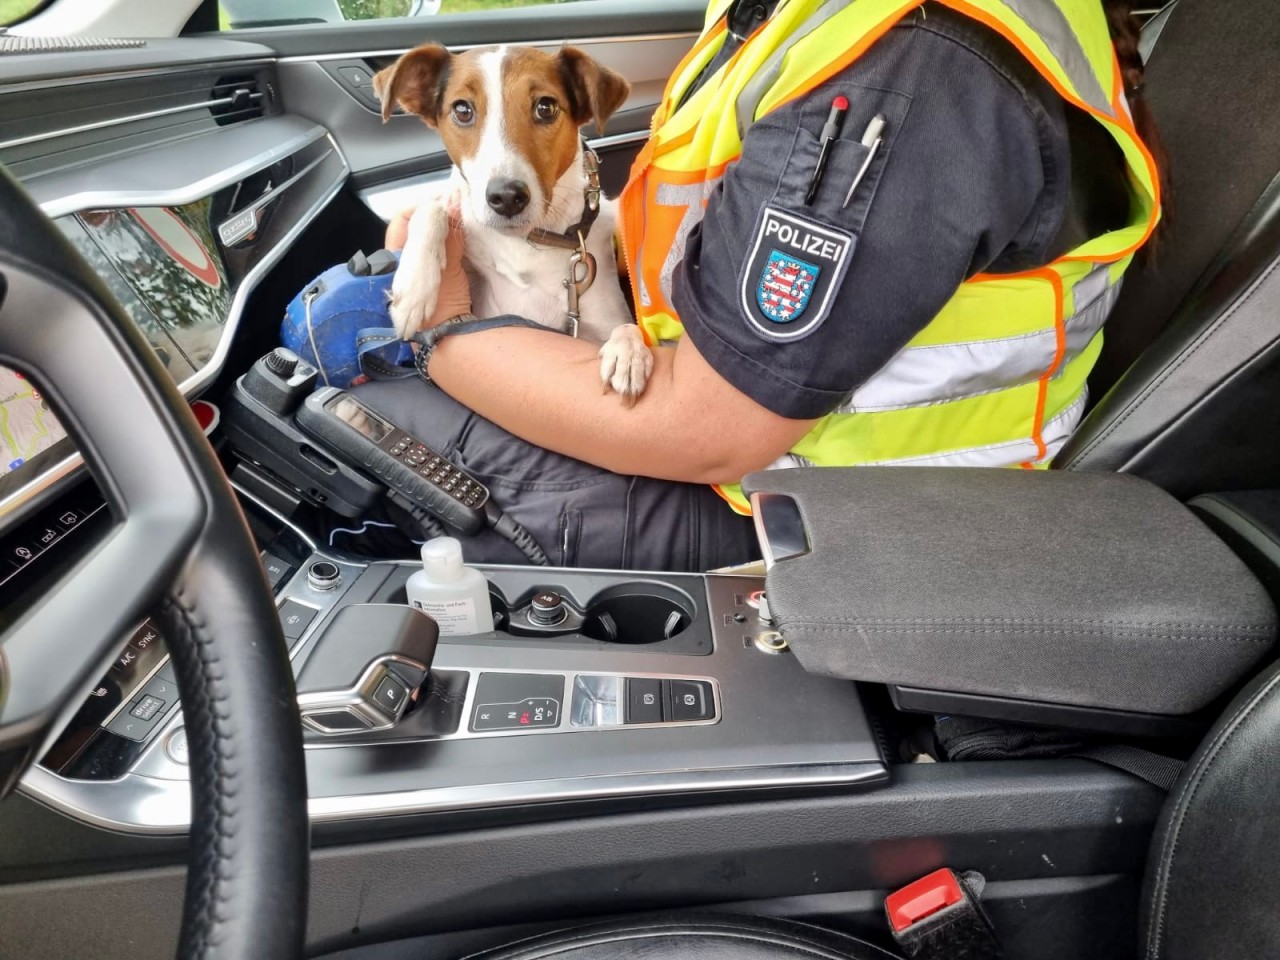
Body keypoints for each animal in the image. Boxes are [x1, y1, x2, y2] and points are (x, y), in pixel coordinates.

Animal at [371, 41, 650, 399]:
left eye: (545, 107)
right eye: (462, 110)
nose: (506, 197)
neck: (528, 242)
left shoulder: (599, 318)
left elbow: (626, 325)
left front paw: (628, 351)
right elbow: (432, 207)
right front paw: (414, 289)